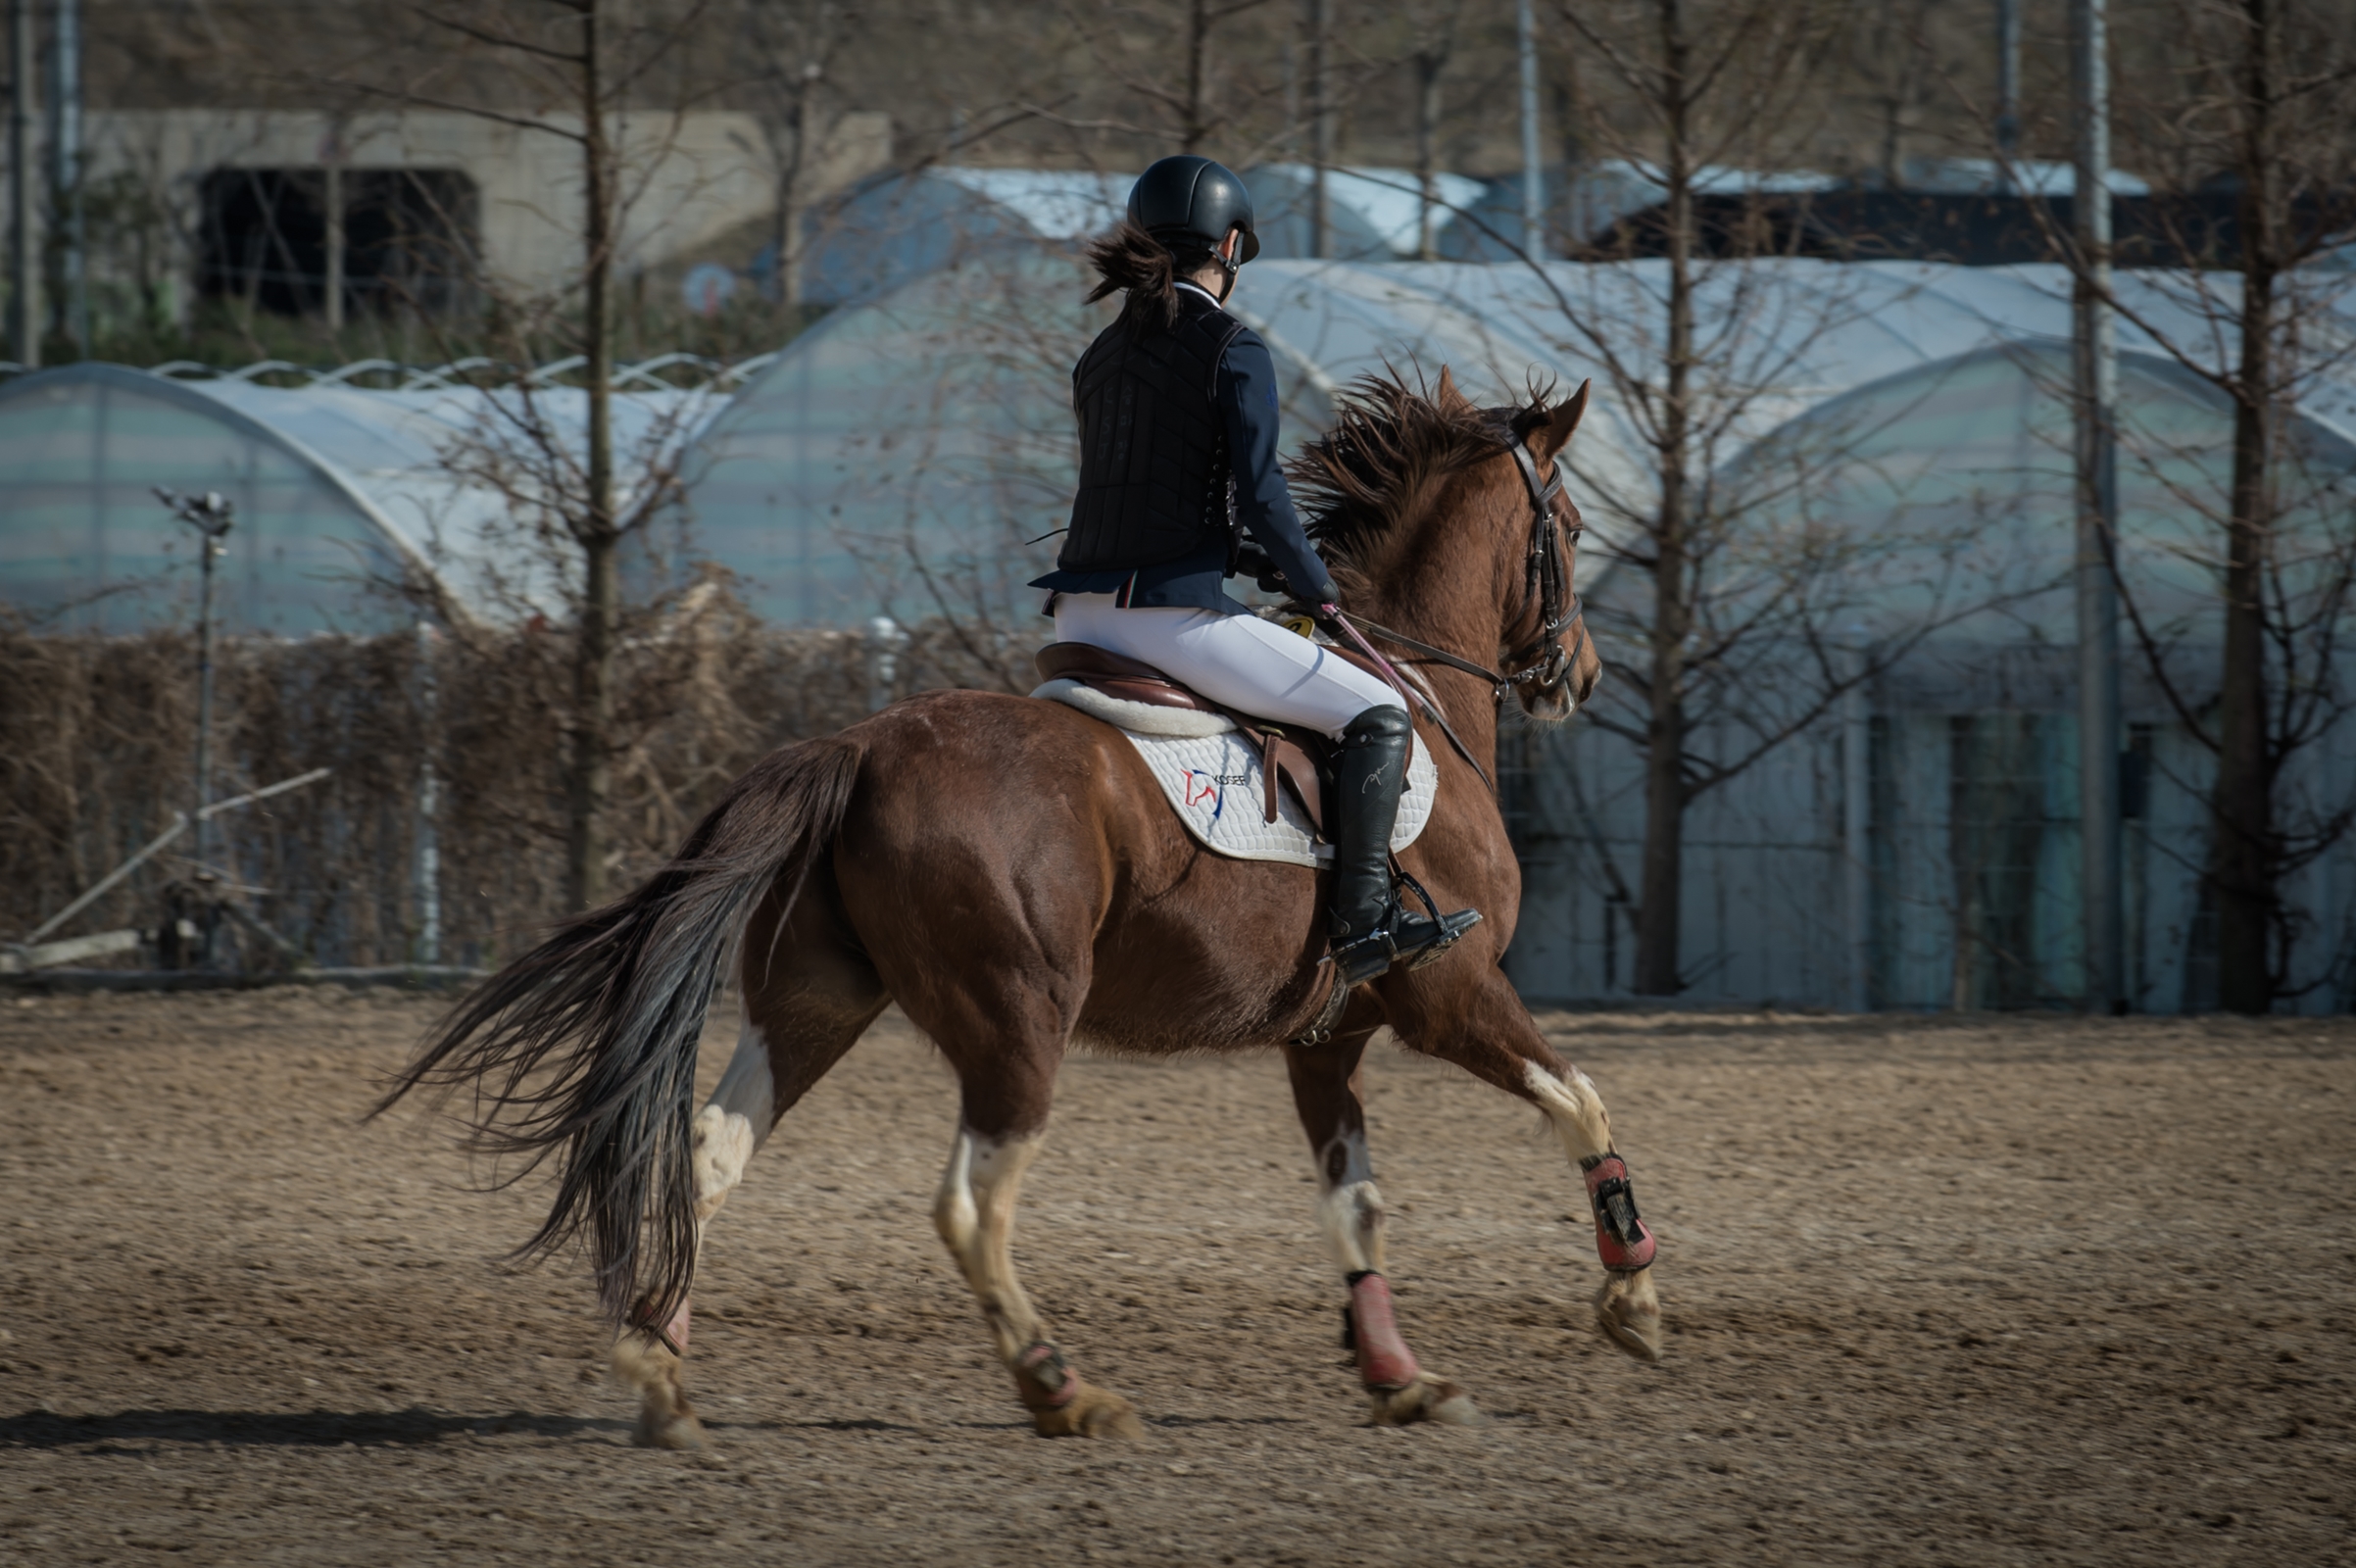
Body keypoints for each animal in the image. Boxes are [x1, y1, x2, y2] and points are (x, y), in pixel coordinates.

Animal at [381, 362, 1658, 1441]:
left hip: (814, 1003)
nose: (1581, 674)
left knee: (710, 1152)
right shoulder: (1449, 992)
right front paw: (1632, 1295)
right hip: (1016, 1020)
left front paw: (1399, 1378)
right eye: (1570, 529)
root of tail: (859, 745)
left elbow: (1355, 1203)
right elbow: (1582, 1101)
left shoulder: (1325, 1036)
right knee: (969, 1206)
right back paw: (1062, 1387)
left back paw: (660, 1371)